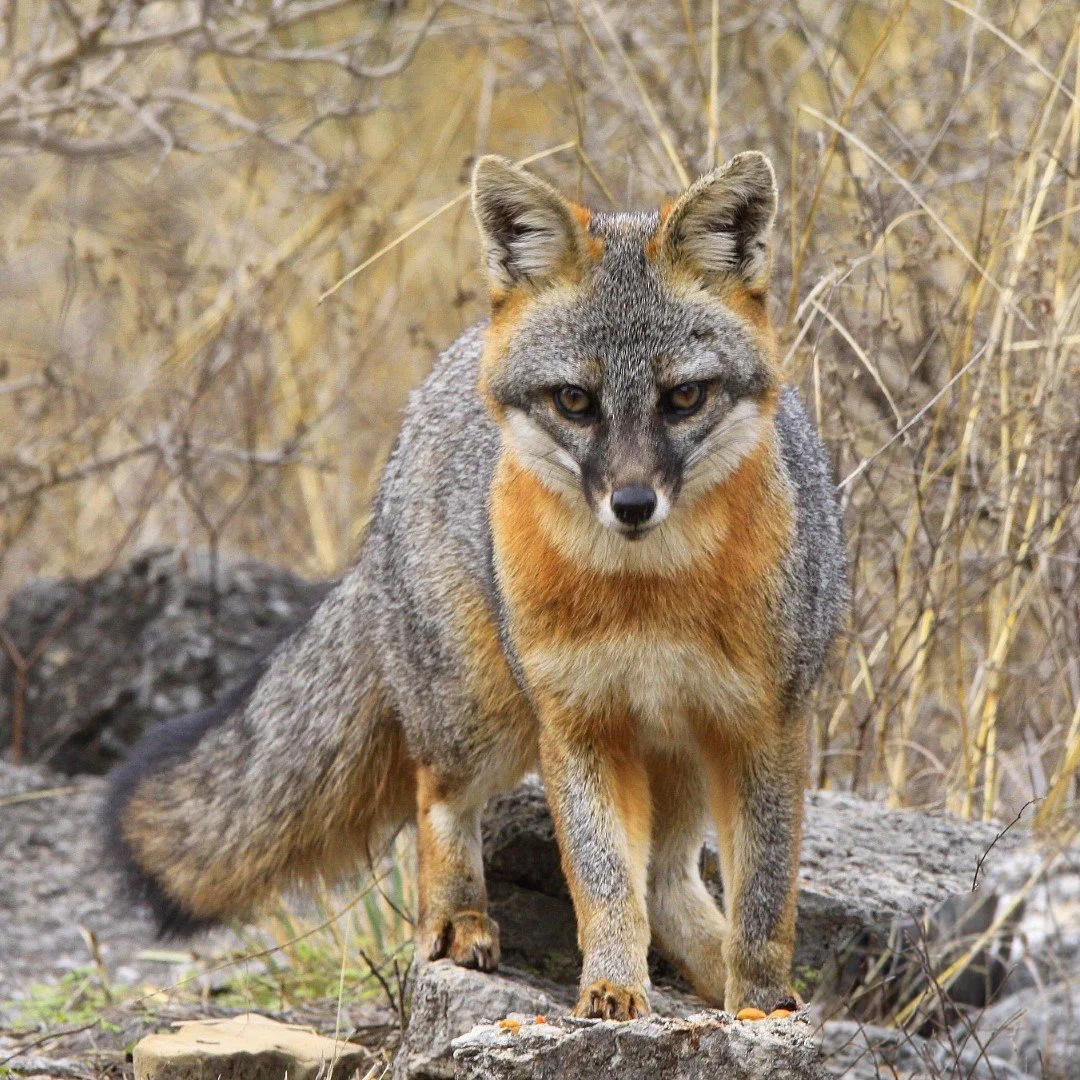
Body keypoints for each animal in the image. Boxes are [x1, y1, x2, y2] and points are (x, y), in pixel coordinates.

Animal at [104, 150, 846, 1020]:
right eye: (575, 402)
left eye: (684, 398)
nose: (632, 504)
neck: (649, 596)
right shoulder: (579, 727)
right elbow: (603, 884)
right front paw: (612, 989)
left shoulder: (764, 728)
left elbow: (762, 896)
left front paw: (759, 1002)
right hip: (483, 715)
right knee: (440, 798)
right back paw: (458, 917)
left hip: (682, 752)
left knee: (666, 880)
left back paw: (710, 967)